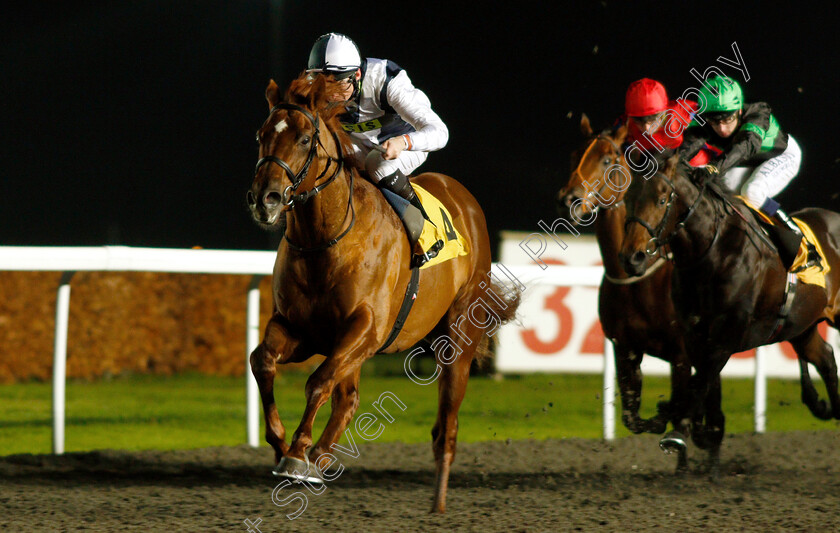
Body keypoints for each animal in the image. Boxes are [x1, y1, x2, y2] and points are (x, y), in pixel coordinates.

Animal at [244, 72, 520, 512]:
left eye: (304, 139)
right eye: (261, 135)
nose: (264, 199)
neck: (326, 239)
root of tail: (464, 199)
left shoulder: (367, 329)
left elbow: (317, 382)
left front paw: (297, 453)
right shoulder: (301, 329)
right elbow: (264, 362)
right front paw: (281, 443)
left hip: (458, 339)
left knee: (446, 426)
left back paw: (437, 502)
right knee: (349, 400)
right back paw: (321, 458)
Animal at [556, 115, 688, 466]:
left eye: (606, 160)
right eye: (574, 156)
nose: (569, 199)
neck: (637, 278)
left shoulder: (682, 352)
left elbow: (682, 408)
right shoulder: (624, 347)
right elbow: (632, 416)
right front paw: (659, 417)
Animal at [616, 157, 840, 474]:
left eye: (661, 200)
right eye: (628, 199)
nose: (631, 258)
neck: (712, 251)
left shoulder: (728, 335)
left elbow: (702, 380)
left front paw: (677, 431)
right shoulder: (693, 333)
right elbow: (699, 382)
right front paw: (678, 422)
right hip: (802, 325)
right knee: (826, 357)